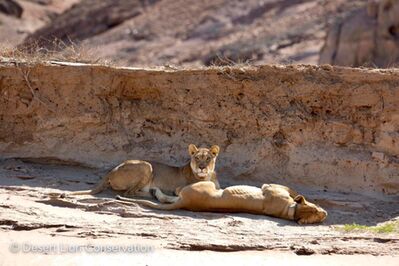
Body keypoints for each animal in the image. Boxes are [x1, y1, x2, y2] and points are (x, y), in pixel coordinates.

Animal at [65, 144, 222, 203]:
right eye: (197, 158)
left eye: (208, 158)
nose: (202, 167)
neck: (207, 175)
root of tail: (111, 170)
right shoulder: (180, 188)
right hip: (147, 166)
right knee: (129, 193)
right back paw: (153, 194)